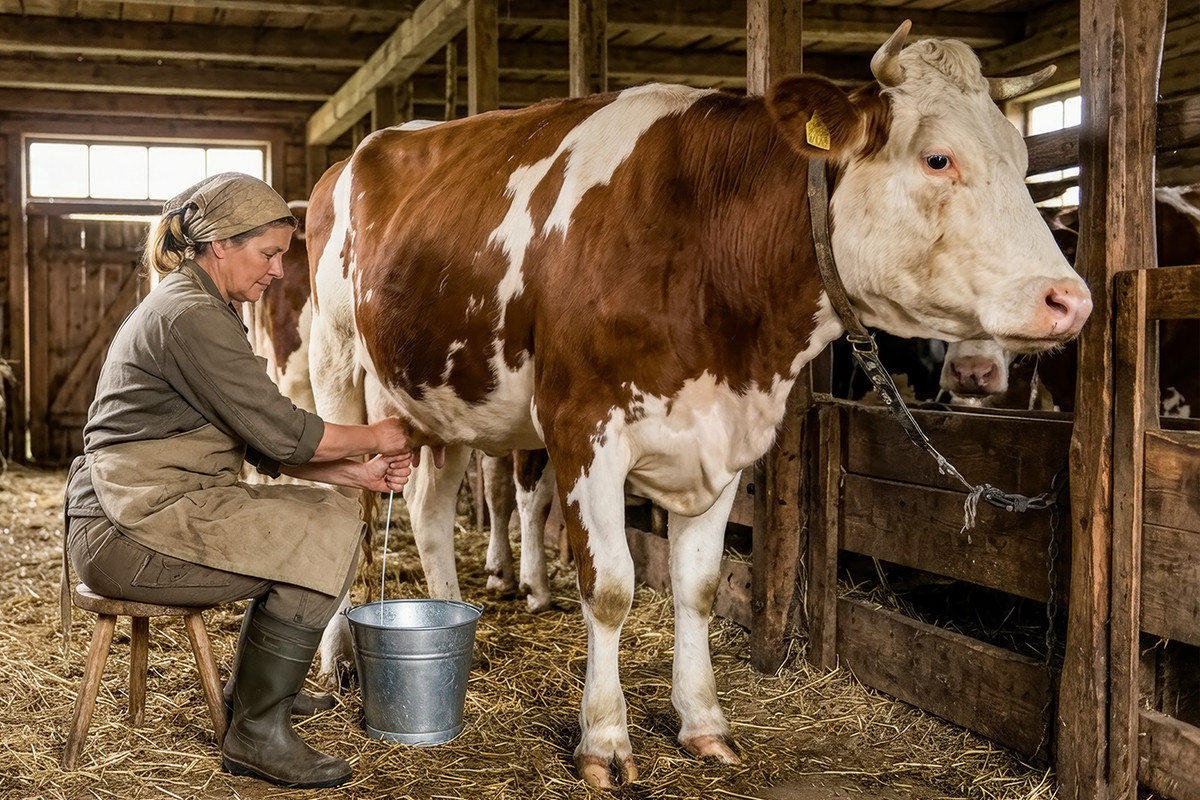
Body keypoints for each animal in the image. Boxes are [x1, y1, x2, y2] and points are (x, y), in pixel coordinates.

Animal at [306, 22, 1091, 787]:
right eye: (937, 158)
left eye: (1022, 159)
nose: (1071, 299)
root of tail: (359, 155)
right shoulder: (580, 428)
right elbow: (612, 587)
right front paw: (604, 741)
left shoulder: (726, 439)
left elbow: (699, 587)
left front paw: (704, 724)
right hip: (334, 367)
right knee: (345, 508)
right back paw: (338, 658)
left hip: (437, 395)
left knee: (429, 512)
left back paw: (445, 619)